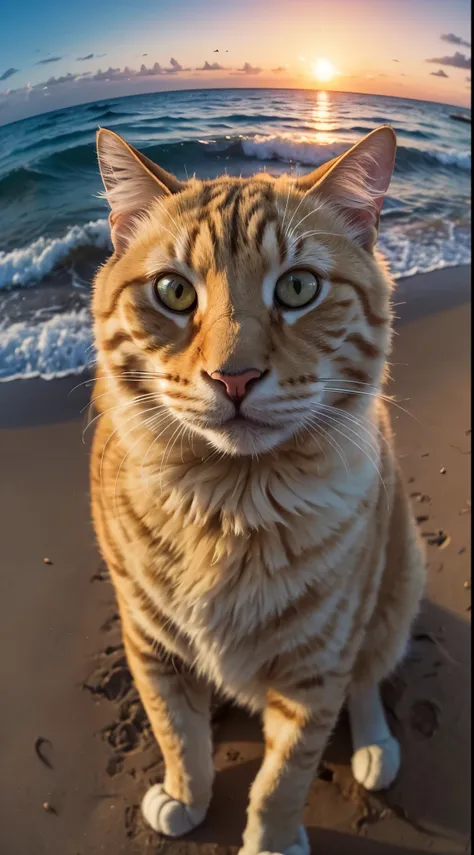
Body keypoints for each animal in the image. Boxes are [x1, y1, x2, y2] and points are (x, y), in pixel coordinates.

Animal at [90, 123, 426, 852]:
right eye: (174, 292)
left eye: (298, 287)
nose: (234, 376)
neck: (228, 507)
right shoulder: (149, 643)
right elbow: (175, 733)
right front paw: (187, 795)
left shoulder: (316, 669)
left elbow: (284, 777)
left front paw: (270, 839)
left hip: (397, 583)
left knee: (370, 675)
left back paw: (376, 746)